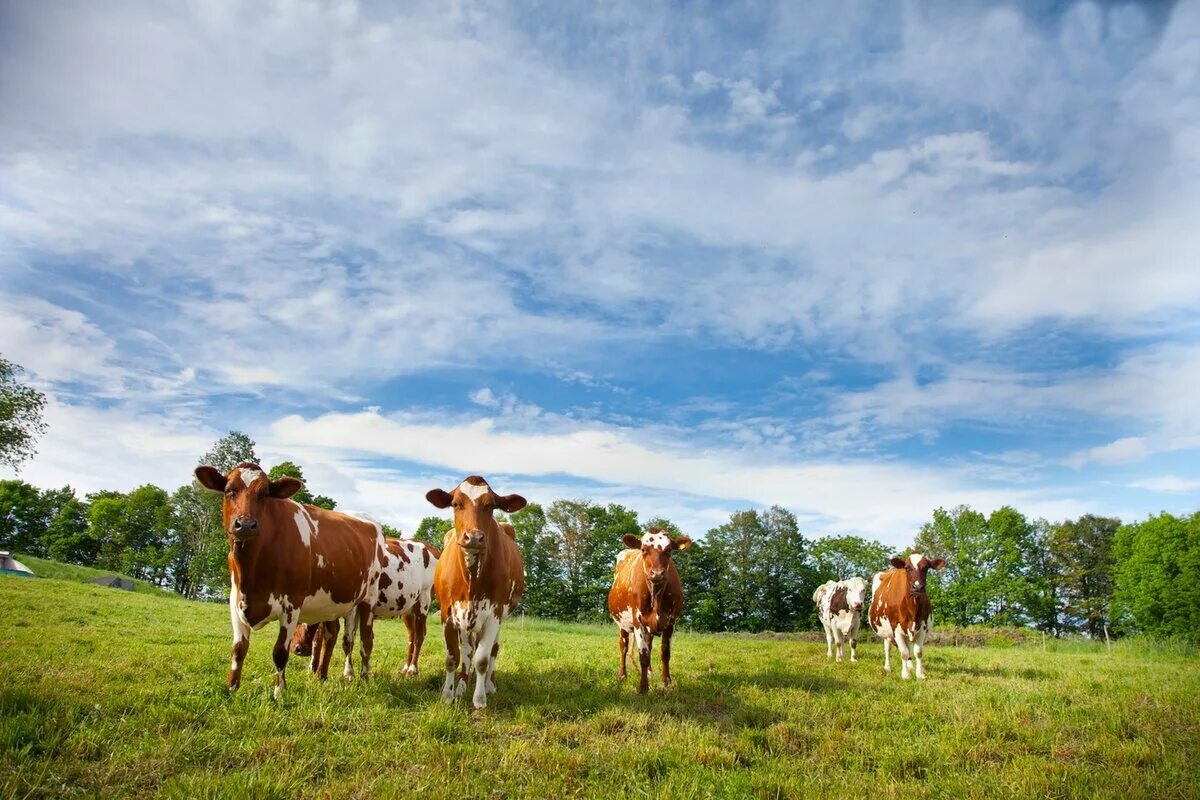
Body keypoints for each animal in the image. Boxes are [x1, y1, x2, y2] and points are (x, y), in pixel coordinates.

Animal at [195, 462, 384, 700]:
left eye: (264, 494)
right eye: (229, 490)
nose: (245, 525)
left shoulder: (291, 604)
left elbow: (280, 652)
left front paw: (279, 693)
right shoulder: (235, 600)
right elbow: (238, 648)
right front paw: (232, 688)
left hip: (368, 599)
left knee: (365, 641)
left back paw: (362, 676)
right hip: (337, 602)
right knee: (338, 637)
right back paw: (326, 675)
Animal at [429, 472, 528, 710]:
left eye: (490, 505)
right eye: (456, 504)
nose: (474, 537)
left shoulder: (494, 614)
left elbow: (482, 659)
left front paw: (480, 699)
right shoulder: (448, 614)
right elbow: (453, 657)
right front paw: (448, 694)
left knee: (492, 650)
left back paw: (489, 685)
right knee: (467, 652)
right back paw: (462, 685)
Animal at [609, 525, 696, 695]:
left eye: (669, 550)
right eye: (644, 549)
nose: (657, 573)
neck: (656, 595)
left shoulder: (671, 622)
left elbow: (665, 653)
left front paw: (666, 682)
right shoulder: (638, 622)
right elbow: (643, 655)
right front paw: (643, 687)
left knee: (648, 645)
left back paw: (649, 672)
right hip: (622, 623)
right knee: (623, 646)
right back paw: (622, 675)